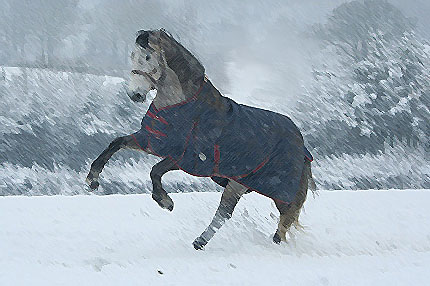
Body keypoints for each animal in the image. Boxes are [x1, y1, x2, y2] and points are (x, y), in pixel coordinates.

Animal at [86, 27, 316, 249]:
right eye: (132, 56)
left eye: (148, 57)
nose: (135, 95)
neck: (181, 106)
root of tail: (299, 139)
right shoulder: (152, 141)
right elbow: (116, 143)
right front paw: (92, 180)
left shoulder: (187, 157)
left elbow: (155, 171)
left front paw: (165, 201)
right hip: (238, 183)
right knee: (225, 213)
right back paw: (200, 243)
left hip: (274, 189)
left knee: (282, 218)